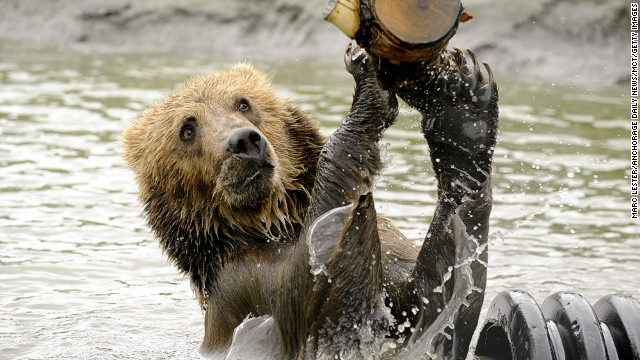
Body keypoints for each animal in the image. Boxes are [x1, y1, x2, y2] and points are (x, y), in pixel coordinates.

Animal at [121, 43, 500, 358]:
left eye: (243, 102)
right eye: (187, 130)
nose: (243, 141)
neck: (275, 220)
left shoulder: (393, 255)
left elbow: (428, 300)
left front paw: (462, 116)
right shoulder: (240, 282)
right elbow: (308, 290)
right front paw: (367, 88)